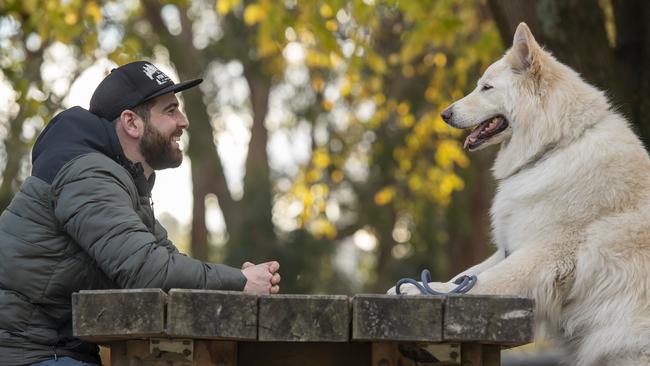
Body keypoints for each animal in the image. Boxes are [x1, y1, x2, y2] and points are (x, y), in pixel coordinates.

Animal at [390, 23, 648, 366]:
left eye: (486, 88)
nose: (445, 114)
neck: (557, 145)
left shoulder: (541, 256)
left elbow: (484, 282)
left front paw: (421, 291)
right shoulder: (510, 247)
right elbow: (466, 276)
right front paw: (426, 287)